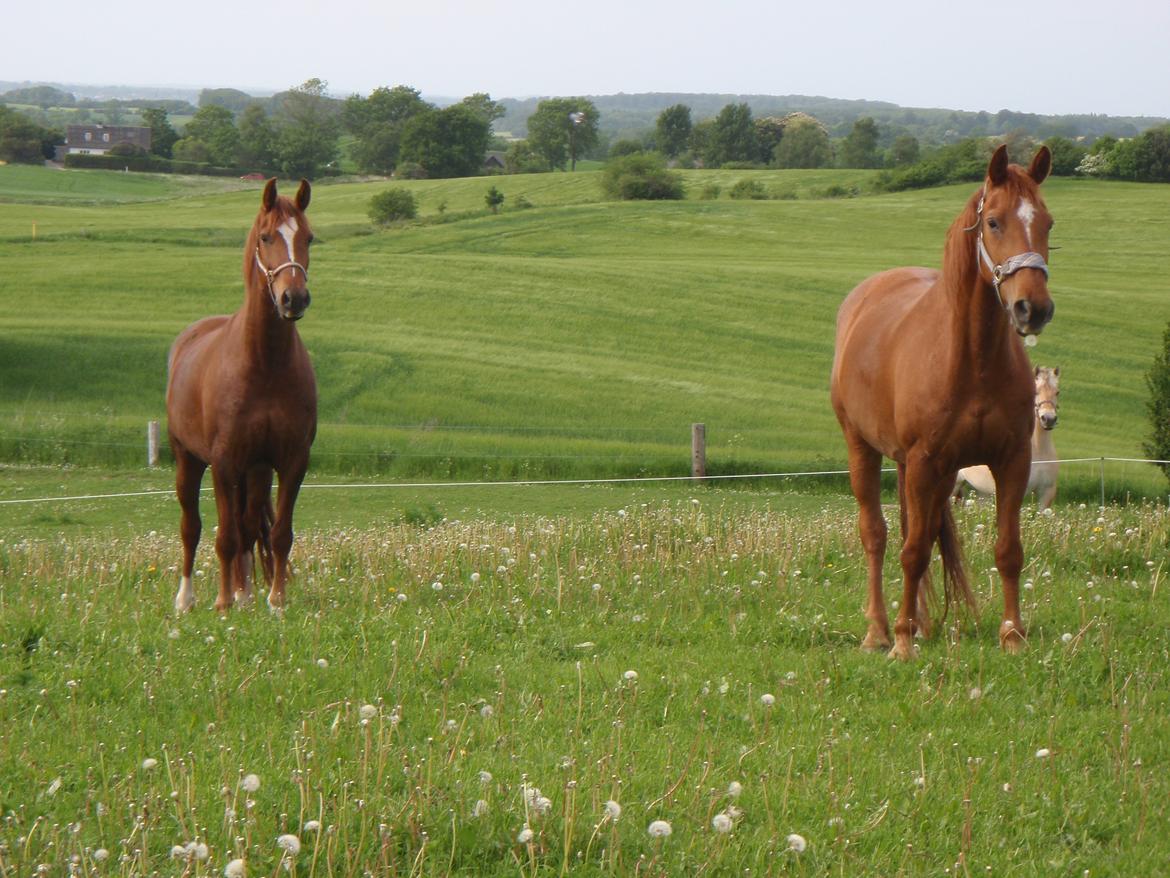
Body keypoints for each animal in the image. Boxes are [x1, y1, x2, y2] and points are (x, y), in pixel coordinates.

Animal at [167, 180, 318, 613]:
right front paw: (221, 604)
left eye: (308, 238)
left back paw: (245, 593)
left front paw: (275, 600)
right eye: (266, 237)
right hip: (188, 460)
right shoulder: (223, 461)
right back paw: (187, 598)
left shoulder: (291, 460)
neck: (264, 364)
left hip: (255, 470)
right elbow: (224, 536)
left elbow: (279, 533)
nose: (294, 298)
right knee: (192, 527)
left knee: (250, 526)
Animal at [959, 365, 1062, 515]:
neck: (1038, 451)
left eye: (1057, 392)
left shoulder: (1046, 493)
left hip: (981, 493)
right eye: (1035, 391)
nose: (1048, 419)